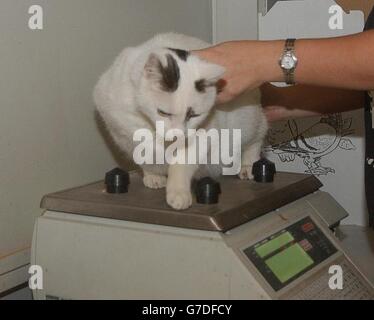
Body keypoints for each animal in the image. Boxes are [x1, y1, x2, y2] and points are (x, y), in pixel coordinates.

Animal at [95, 32, 268, 210]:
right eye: (163, 113)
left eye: (193, 115)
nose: (177, 134)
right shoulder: (117, 121)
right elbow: (142, 145)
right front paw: (154, 170)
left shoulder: (204, 133)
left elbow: (182, 161)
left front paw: (178, 193)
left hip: (247, 121)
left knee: (257, 137)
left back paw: (248, 166)